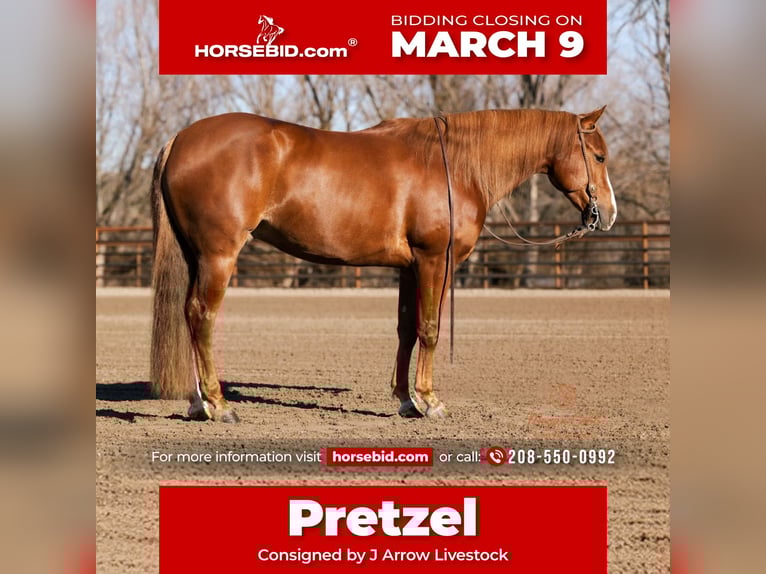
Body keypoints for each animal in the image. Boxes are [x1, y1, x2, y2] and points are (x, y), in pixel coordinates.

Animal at [150, 107, 617, 422]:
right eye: (598, 156)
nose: (608, 215)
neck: (453, 166)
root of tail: (180, 138)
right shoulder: (435, 260)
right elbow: (430, 329)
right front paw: (430, 401)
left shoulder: (410, 267)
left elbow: (406, 329)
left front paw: (406, 400)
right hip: (219, 255)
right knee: (202, 316)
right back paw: (218, 404)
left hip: (196, 255)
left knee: (187, 315)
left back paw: (197, 403)